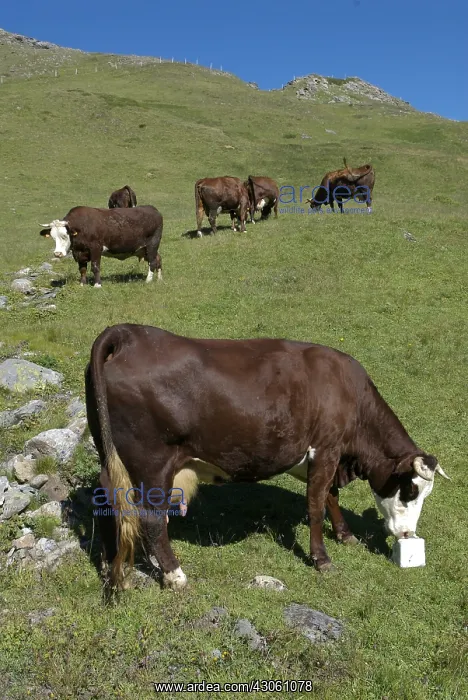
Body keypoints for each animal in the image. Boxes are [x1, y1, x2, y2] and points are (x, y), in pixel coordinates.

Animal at [85, 323, 449, 592]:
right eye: (411, 490)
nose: (407, 535)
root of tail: (130, 334)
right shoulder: (326, 450)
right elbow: (316, 504)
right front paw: (322, 559)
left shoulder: (327, 457)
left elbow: (330, 495)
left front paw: (346, 536)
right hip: (152, 463)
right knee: (150, 517)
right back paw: (174, 575)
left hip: (111, 455)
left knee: (107, 500)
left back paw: (111, 565)